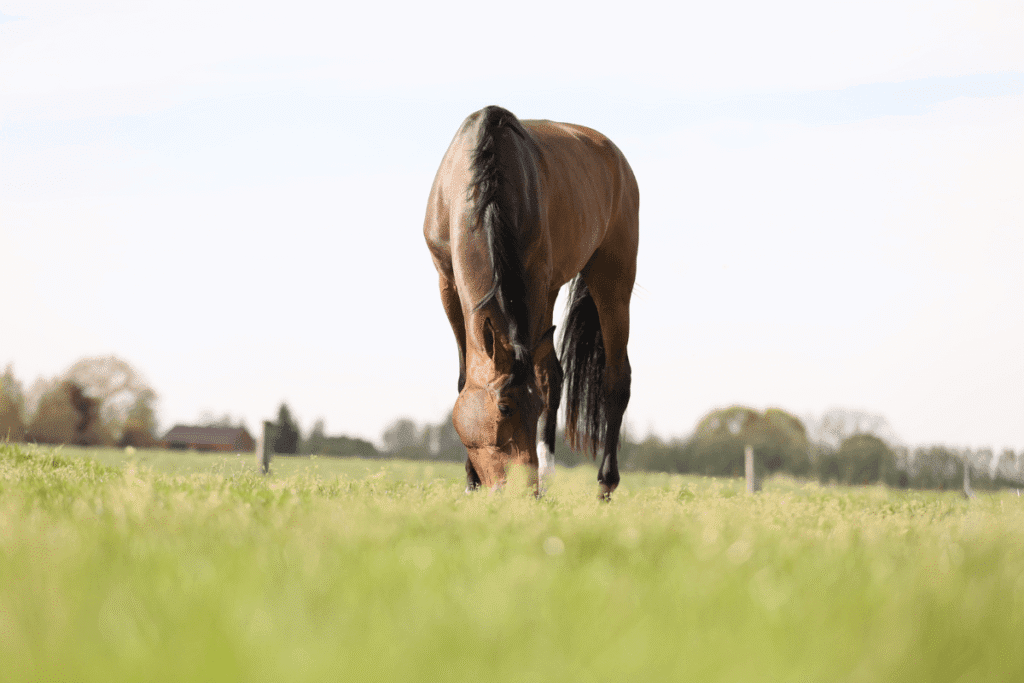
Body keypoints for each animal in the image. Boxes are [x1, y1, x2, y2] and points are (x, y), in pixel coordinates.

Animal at [423, 105, 638, 499]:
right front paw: (470, 480)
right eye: (505, 407)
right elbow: (465, 378)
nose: (523, 491)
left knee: (616, 378)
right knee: (553, 371)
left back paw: (604, 483)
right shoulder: (447, 283)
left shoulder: (534, 279)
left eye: (533, 407)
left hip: (612, 280)